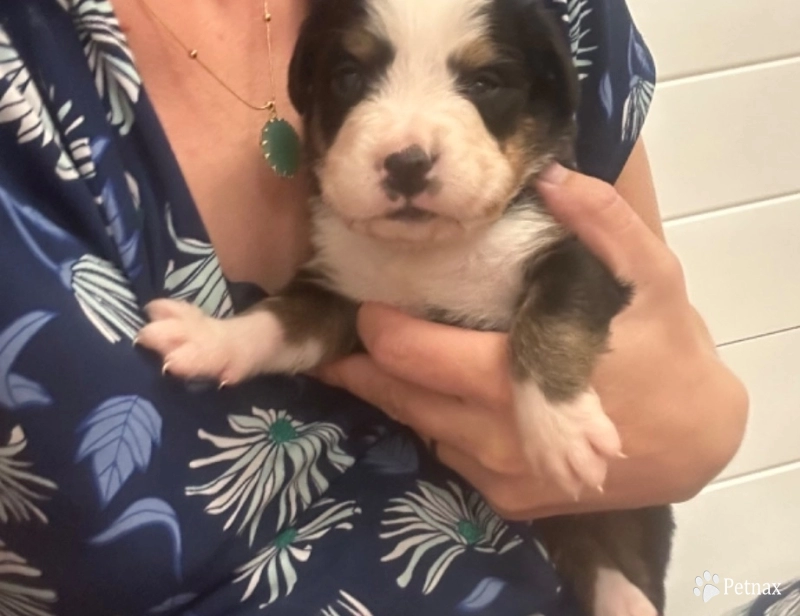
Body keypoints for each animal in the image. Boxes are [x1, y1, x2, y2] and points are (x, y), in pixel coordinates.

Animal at [139, 0, 676, 612]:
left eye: (484, 83)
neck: (428, 253)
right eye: (349, 78)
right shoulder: (340, 288)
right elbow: (276, 321)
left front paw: (561, 428)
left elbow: (551, 322)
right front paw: (209, 338)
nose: (407, 163)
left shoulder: (578, 254)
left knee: (618, 549)